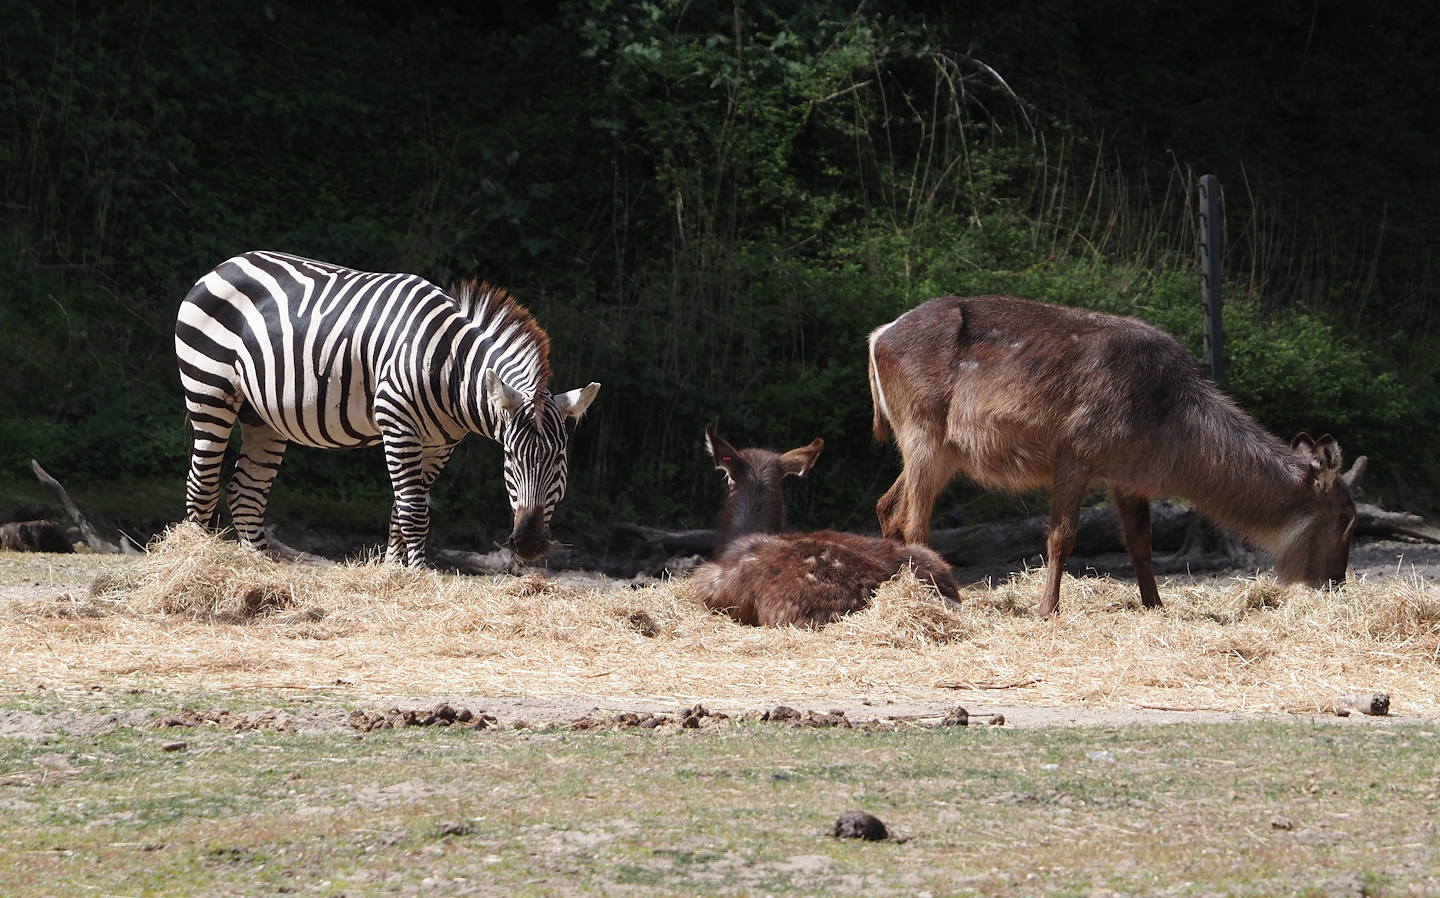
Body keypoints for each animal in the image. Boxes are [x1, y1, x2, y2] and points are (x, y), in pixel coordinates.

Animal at [175, 250, 600, 566]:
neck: (450, 369)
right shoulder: (397, 423)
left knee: (245, 491)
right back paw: (195, 560)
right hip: (209, 391)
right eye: (510, 457)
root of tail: (225, 264)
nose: (528, 544)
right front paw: (417, 576)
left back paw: (259, 567)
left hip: (262, 415)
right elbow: (414, 511)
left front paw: (395, 571)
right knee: (202, 483)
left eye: (559, 458)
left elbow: (402, 510)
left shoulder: (439, 445)